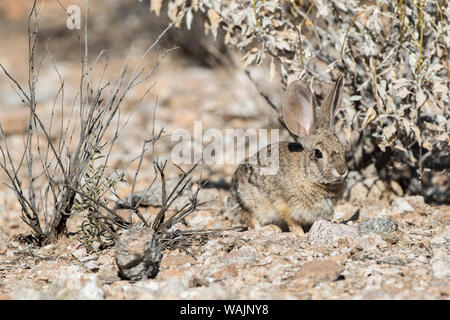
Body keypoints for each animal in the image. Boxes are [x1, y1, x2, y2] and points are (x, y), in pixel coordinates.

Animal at [229, 75, 348, 235]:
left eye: (342, 147)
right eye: (318, 153)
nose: (342, 171)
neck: (306, 174)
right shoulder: (287, 207)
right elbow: (293, 224)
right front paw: (301, 235)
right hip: (250, 204)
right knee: (252, 223)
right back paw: (272, 228)